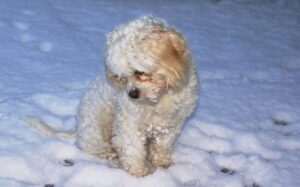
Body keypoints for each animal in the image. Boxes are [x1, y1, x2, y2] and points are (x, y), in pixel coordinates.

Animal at [26, 16, 199, 177]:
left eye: (140, 72)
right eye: (121, 77)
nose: (132, 94)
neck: (160, 99)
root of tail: (78, 125)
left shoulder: (172, 124)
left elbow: (162, 145)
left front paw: (161, 162)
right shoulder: (129, 123)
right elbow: (133, 150)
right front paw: (139, 172)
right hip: (98, 122)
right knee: (91, 146)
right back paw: (107, 153)